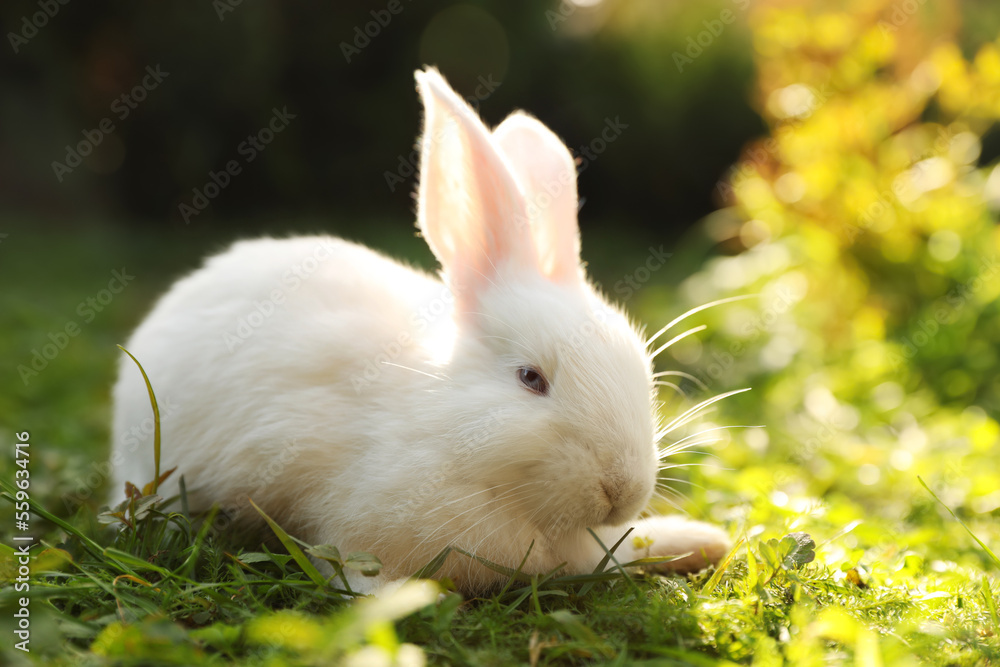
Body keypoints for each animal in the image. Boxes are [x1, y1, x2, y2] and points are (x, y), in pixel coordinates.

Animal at [110, 67, 731, 595]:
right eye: (530, 378)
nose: (622, 492)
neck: (446, 427)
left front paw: (703, 541)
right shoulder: (353, 524)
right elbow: (353, 570)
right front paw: (402, 603)